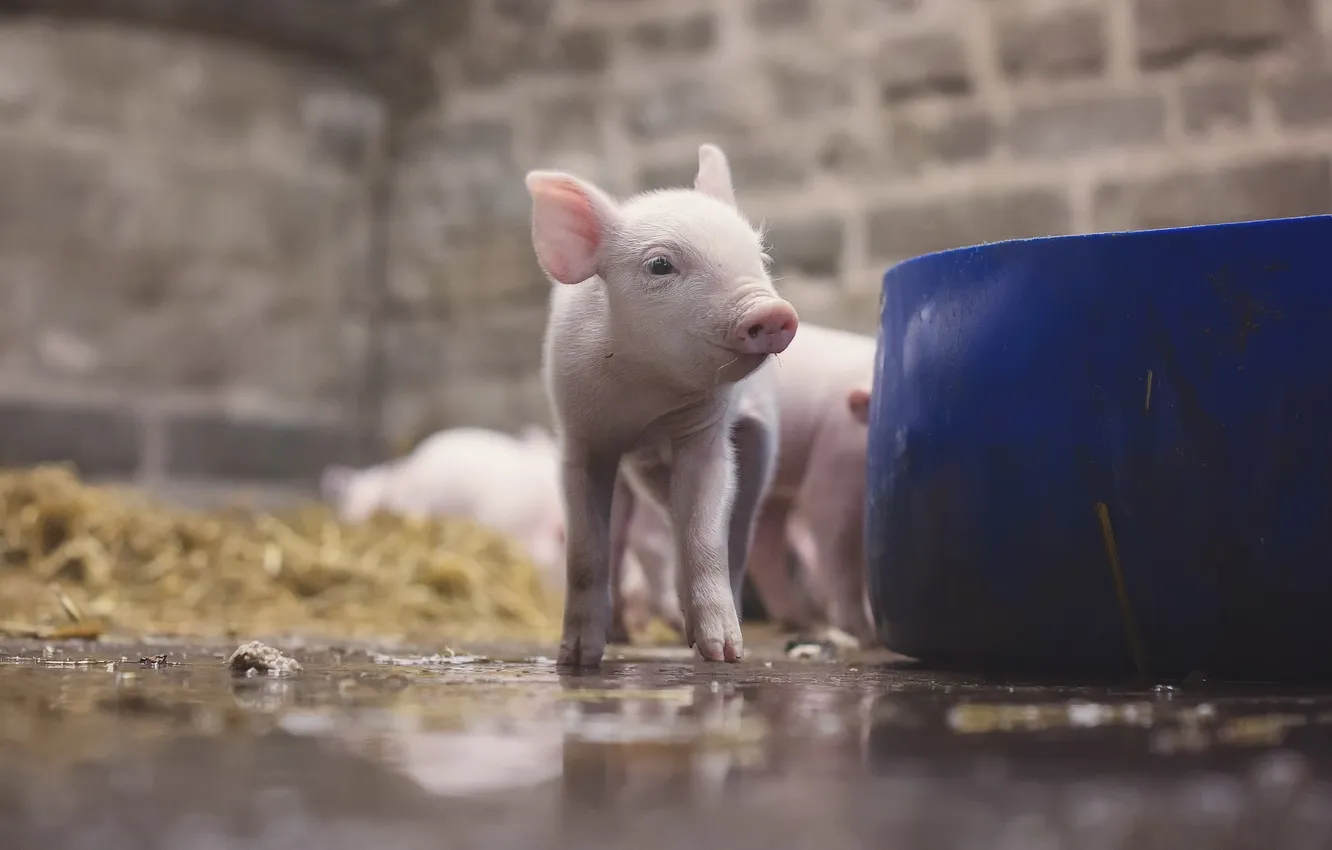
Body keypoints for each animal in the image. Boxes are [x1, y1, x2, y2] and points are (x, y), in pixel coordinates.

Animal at [526, 143, 799, 668]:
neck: (646, 398)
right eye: (659, 265)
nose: (773, 311)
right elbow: (586, 551)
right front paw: (576, 658)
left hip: (763, 443)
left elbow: (705, 534)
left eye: (759, 255)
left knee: (736, 530)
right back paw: (621, 636)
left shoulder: (706, 434)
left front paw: (722, 653)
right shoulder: (580, 437)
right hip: (642, 474)